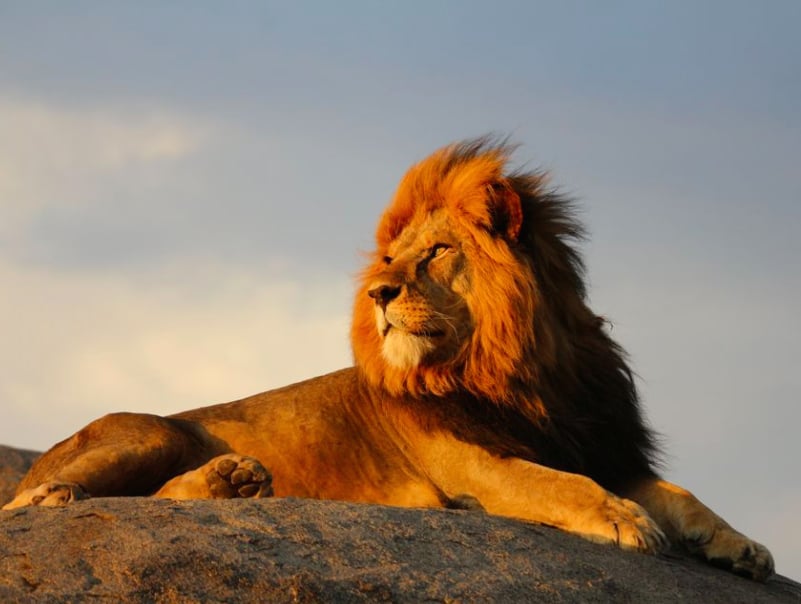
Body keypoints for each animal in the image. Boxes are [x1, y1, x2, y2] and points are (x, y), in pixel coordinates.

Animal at [3, 136, 772, 580]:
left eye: (434, 252)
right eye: (389, 261)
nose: (378, 293)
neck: (524, 371)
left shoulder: (602, 445)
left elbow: (682, 493)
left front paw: (742, 547)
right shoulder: (474, 463)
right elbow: (560, 485)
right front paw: (624, 520)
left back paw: (234, 482)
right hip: (149, 431)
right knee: (29, 504)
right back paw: (63, 494)